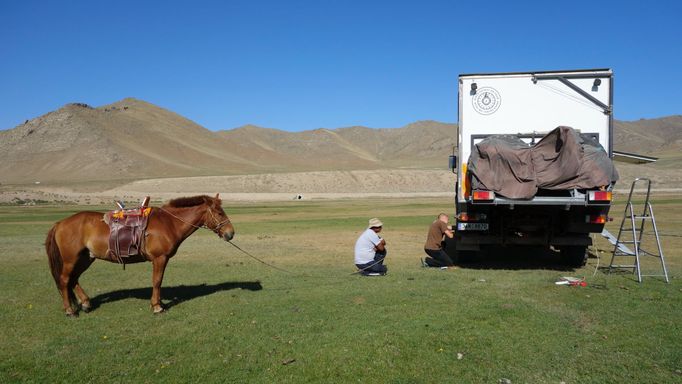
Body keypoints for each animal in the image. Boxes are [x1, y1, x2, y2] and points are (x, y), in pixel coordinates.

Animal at [43, 194, 234, 316]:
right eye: (219, 213)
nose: (230, 233)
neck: (169, 223)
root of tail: (60, 223)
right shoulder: (159, 258)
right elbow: (157, 281)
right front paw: (157, 307)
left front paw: (158, 304)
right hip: (71, 259)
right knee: (65, 280)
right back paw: (70, 310)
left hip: (85, 258)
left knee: (74, 279)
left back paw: (86, 303)